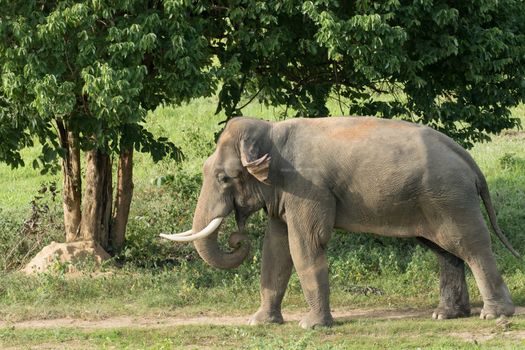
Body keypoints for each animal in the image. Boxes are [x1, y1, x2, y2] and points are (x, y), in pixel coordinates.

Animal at [161, 116, 520, 330]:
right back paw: (446, 315)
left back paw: (494, 315)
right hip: (432, 200)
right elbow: (275, 251)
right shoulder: (285, 192)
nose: (236, 238)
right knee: (444, 251)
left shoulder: (308, 187)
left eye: (224, 178)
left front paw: (312, 326)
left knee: (471, 245)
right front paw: (260, 323)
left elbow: (305, 245)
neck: (271, 131)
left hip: (451, 197)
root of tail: (467, 157)